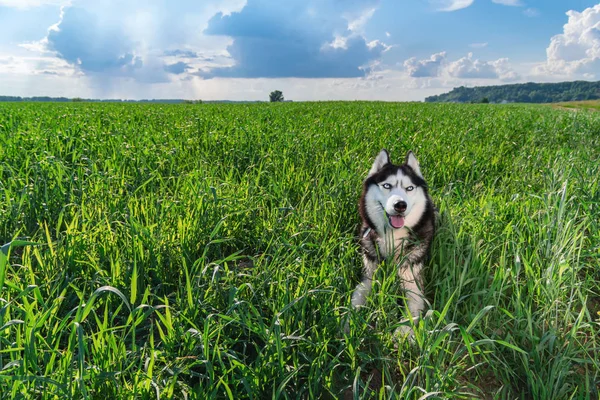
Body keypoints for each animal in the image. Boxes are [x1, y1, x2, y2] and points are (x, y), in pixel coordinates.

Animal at [352, 149, 436, 334]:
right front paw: (348, 326)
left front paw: (401, 336)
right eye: (387, 186)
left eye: (409, 188)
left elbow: (411, 315)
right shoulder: (369, 276)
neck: (392, 236)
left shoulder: (413, 282)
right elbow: (355, 301)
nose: (400, 205)